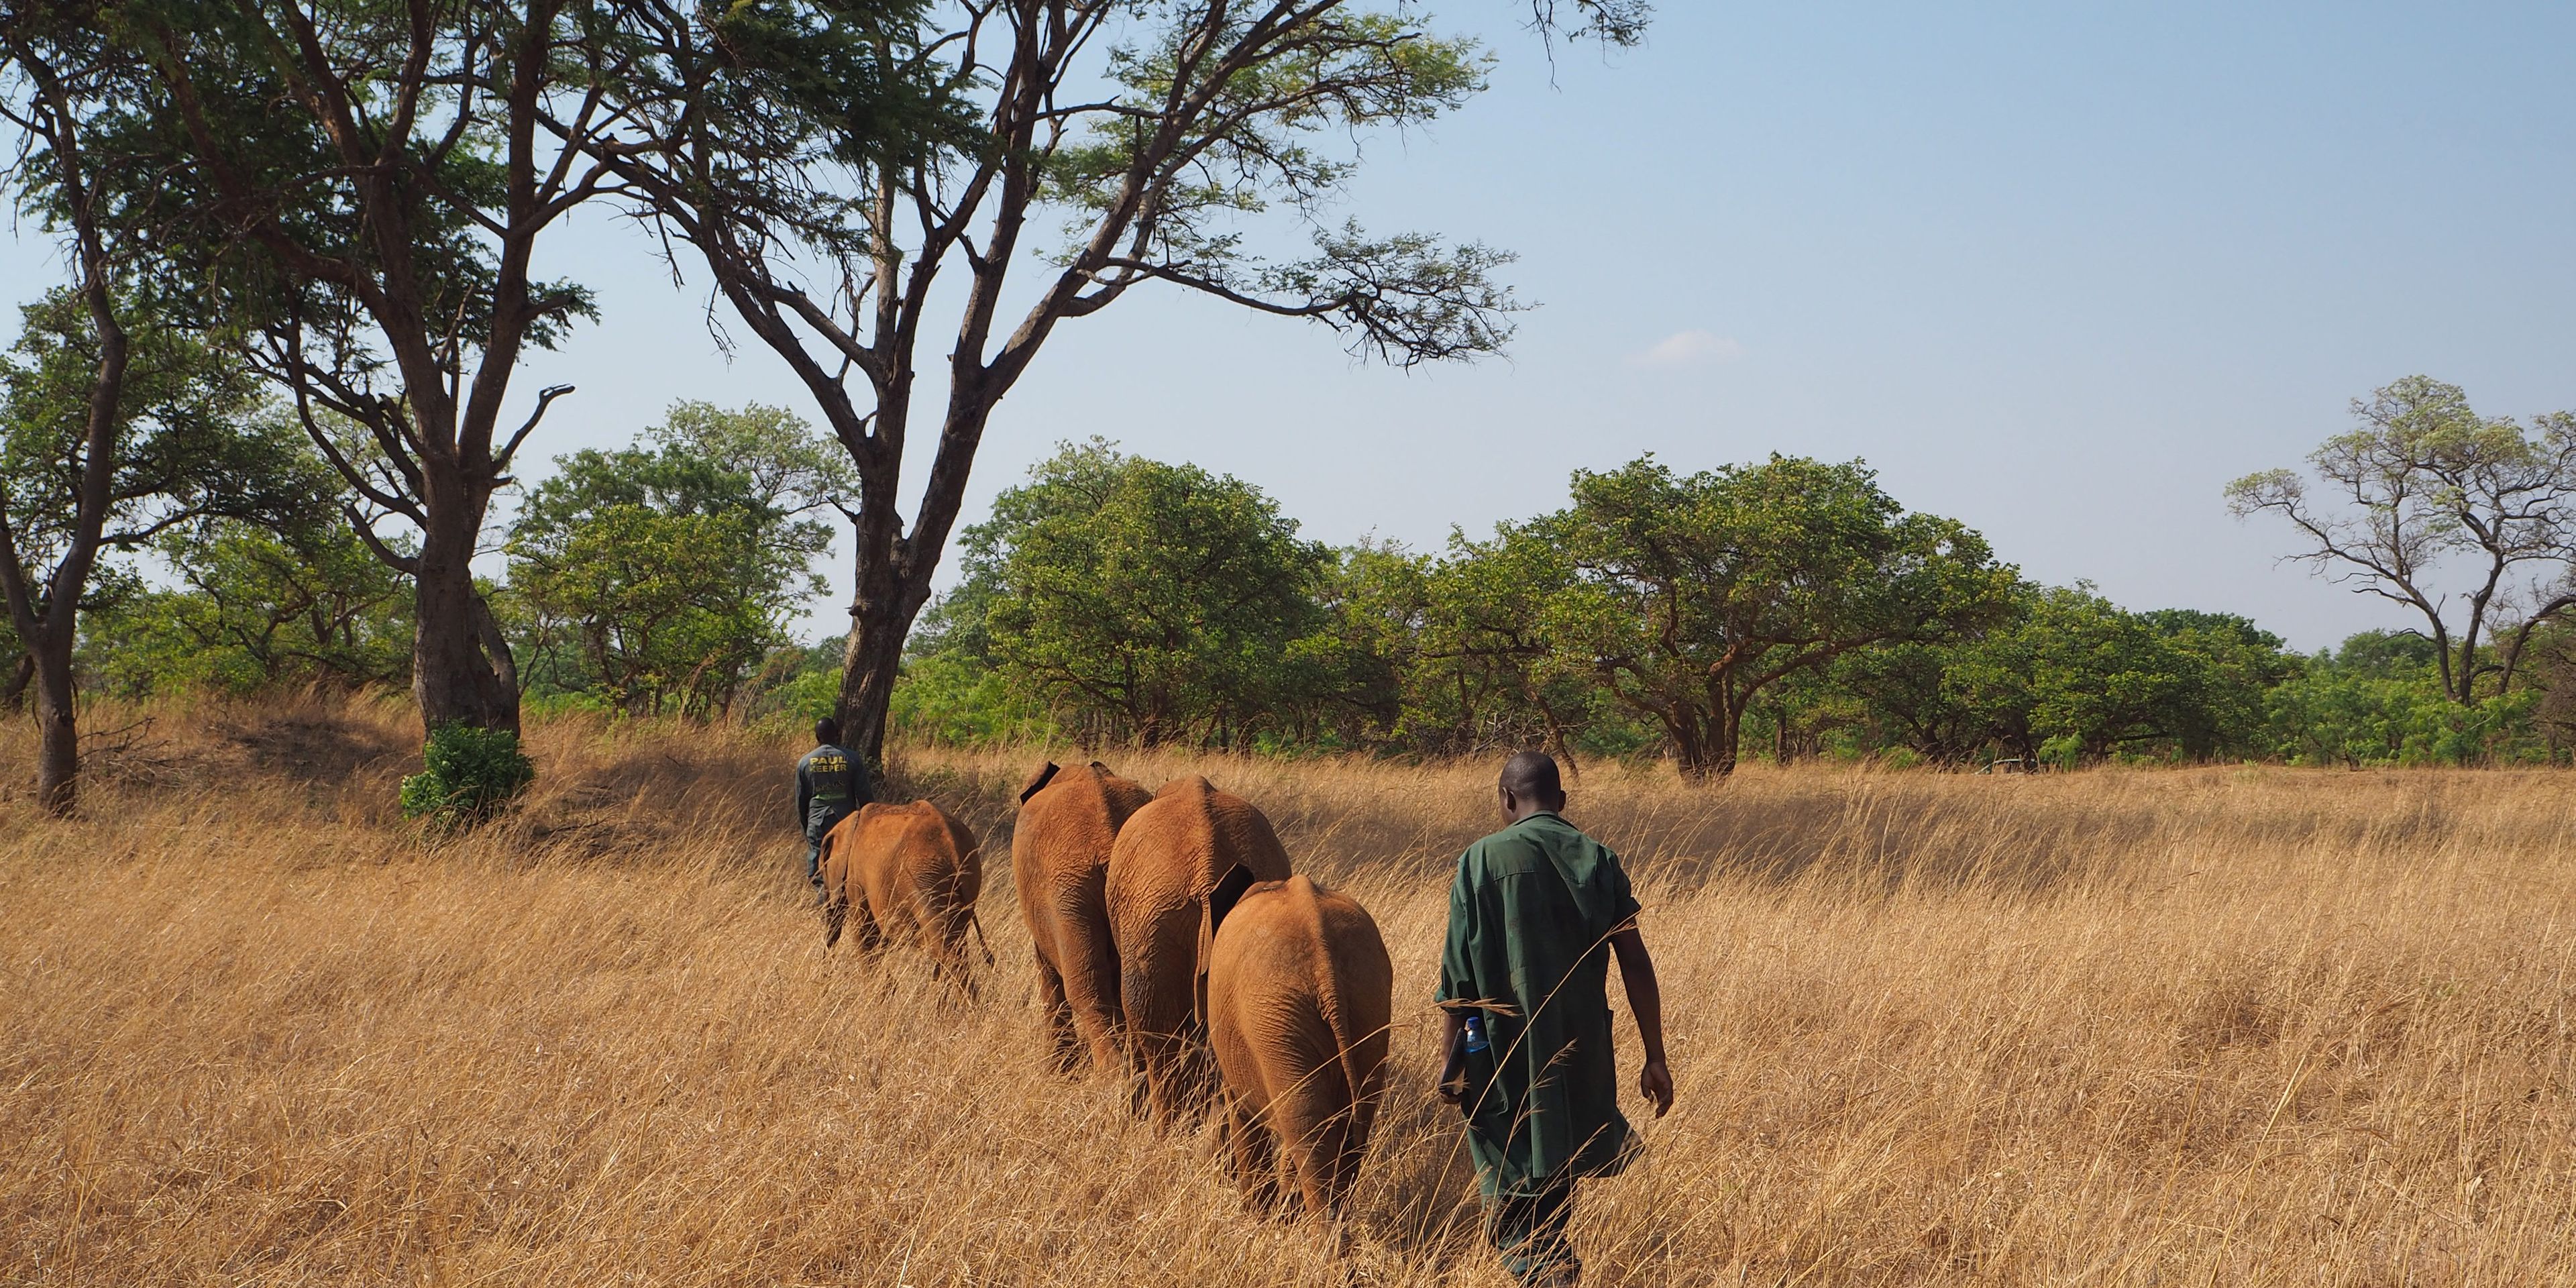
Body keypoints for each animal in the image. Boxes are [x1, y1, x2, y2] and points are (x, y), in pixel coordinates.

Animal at [820, 799, 988, 992]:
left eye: (823, 873)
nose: (825, 981)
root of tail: (955, 851)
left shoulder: (855, 876)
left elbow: (865, 934)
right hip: (963, 881)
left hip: (925, 880)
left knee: (946, 948)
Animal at [1013, 760, 1153, 1075]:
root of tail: (1108, 837)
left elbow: (1048, 972)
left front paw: (1059, 1071)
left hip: (1067, 890)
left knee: (1087, 993)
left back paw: (1110, 1077)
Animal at [1197, 867, 1394, 1220]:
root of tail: (1325, 966)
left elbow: (1241, 1112)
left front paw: (1257, 1216)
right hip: (1367, 1003)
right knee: (1346, 1123)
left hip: (1274, 1017)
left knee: (1306, 1126)